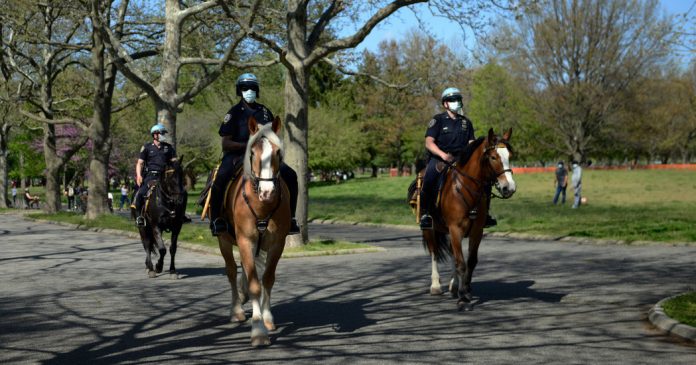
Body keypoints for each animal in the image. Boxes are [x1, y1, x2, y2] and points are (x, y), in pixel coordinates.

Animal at [216, 115, 290, 346]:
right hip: (224, 240)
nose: (267, 192)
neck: (261, 205)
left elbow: (267, 279)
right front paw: (258, 331)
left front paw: (267, 318)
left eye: (277, 152)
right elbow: (255, 284)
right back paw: (236, 310)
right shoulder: (245, 241)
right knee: (231, 271)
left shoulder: (277, 244)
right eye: (253, 153)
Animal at [418, 128, 516, 310]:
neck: (467, 188)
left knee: (451, 254)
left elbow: (470, 261)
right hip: (430, 229)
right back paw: (435, 285)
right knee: (434, 252)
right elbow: (461, 263)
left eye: (509, 156)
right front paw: (463, 298)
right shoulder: (455, 229)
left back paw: (454, 285)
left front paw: (466, 290)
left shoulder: (476, 231)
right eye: (493, 157)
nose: (509, 188)